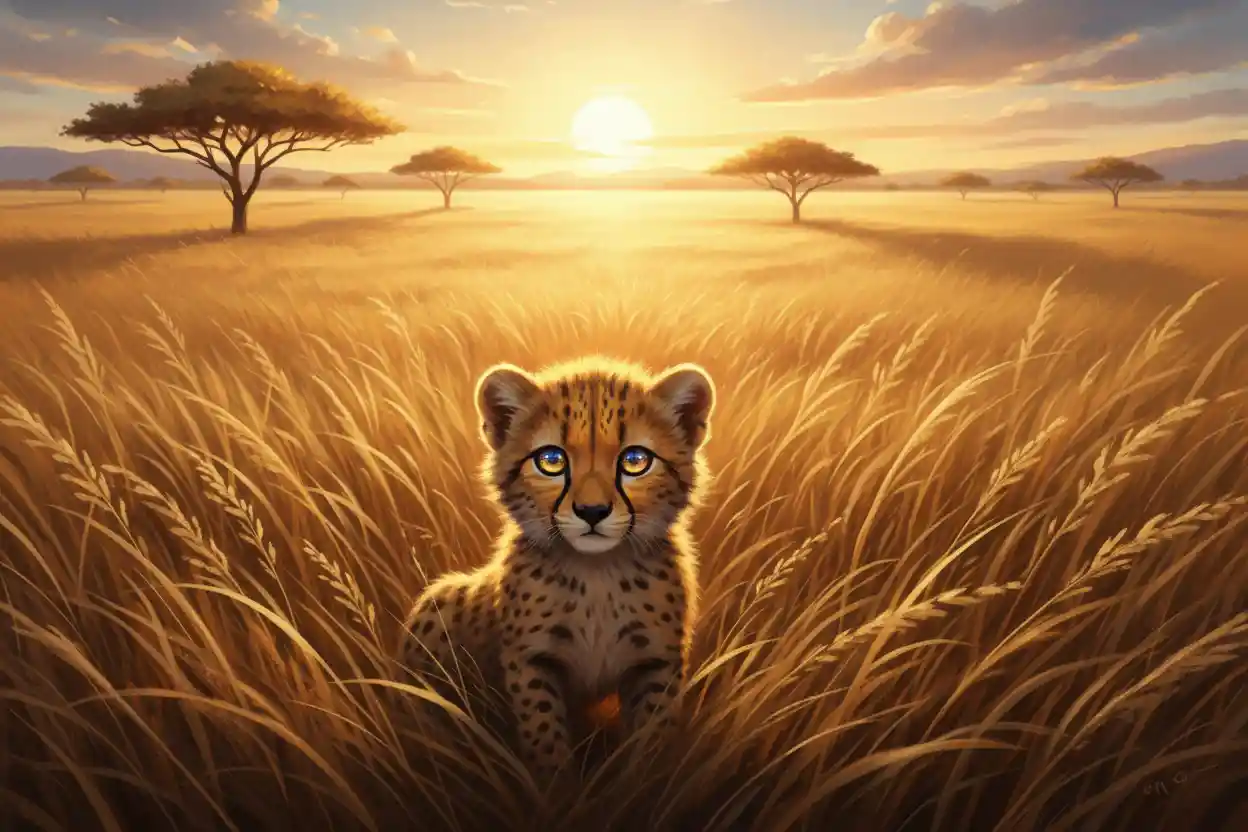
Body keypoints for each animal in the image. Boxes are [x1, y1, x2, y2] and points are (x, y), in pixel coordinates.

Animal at [395, 356, 715, 782]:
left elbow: (651, 736)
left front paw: (643, 782)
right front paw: (557, 788)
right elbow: (543, 733)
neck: (597, 573)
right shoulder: (531, 661)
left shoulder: (655, 662)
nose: (592, 512)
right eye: (551, 460)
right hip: (439, 604)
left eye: (635, 461)